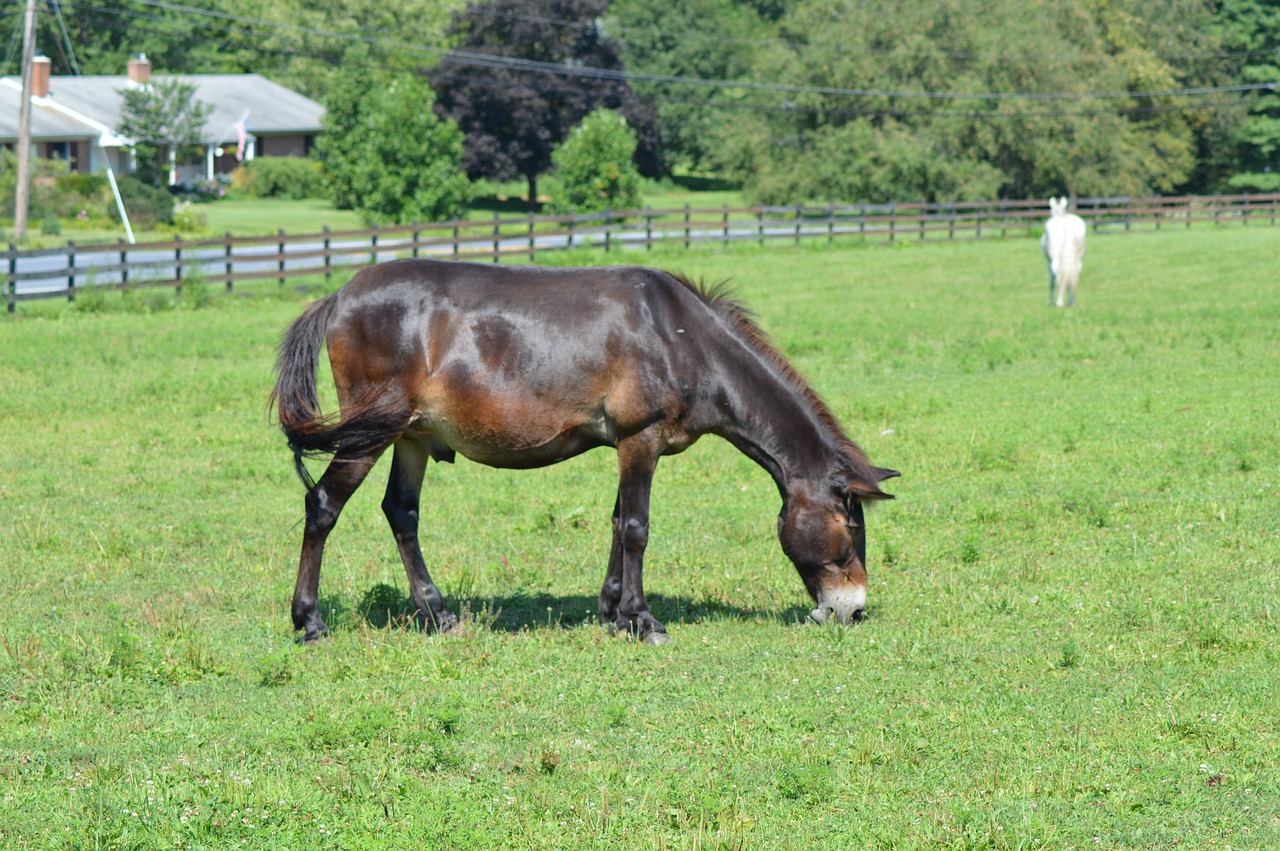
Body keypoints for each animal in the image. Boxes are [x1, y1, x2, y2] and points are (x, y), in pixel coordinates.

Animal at [270, 258, 896, 644]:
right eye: (851, 526)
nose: (854, 609)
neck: (680, 337)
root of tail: (340, 295)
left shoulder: (628, 446)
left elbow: (619, 523)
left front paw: (614, 612)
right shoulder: (640, 439)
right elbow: (638, 527)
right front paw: (643, 621)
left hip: (412, 439)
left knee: (401, 514)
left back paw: (437, 613)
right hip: (371, 435)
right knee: (323, 507)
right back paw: (310, 621)